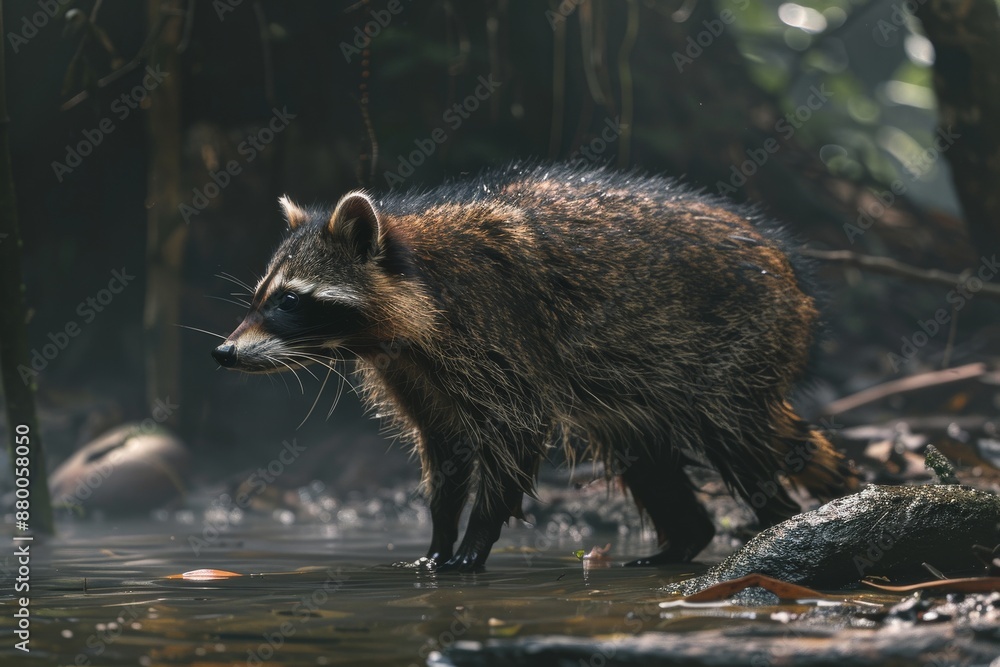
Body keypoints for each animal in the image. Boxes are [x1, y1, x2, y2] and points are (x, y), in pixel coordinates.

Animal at [212, 163, 850, 572]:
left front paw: (475, 539)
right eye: (259, 298)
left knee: (737, 443)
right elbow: (444, 448)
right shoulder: (414, 371)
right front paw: (440, 534)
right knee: (642, 451)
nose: (223, 353)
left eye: (289, 301)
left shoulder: (494, 336)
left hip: (737, 345)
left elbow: (512, 432)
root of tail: (793, 278)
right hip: (642, 385)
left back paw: (774, 525)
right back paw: (686, 539)